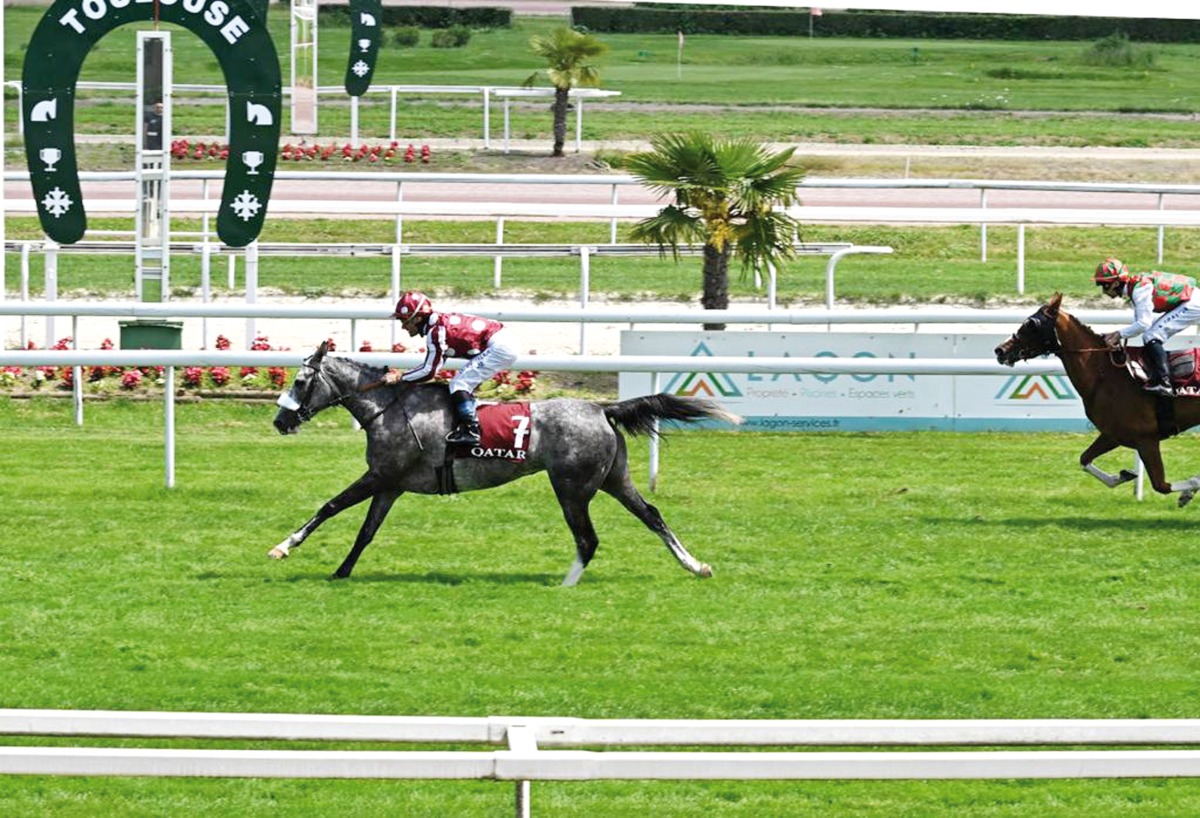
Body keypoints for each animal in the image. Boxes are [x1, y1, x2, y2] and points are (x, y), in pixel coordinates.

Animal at [273, 340, 739, 582]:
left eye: (301, 381)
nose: (280, 420)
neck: (388, 408)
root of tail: (601, 408)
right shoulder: (391, 484)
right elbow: (366, 532)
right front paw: (341, 572)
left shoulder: (379, 475)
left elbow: (330, 506)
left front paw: (283, 547)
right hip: (614, 479)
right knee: (652, 515)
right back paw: (695, 565)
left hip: (572, 488)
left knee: (587, 538)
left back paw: (565, 584)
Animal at [998, 292, 1200, 506]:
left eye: (1031, 324)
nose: (1000, 350)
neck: (1105, 376)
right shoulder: (1113, 434)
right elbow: (1084, 459)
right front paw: (1124, 475)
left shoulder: (1146, 439)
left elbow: (1161, 485)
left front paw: (1189, 491)